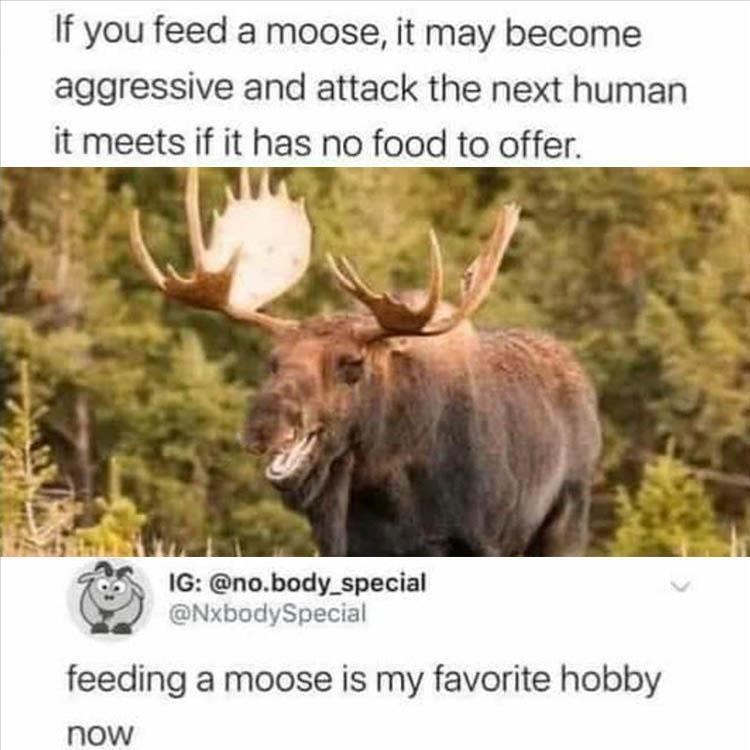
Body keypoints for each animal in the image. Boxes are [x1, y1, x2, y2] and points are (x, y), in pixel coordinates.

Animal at [130, 168, 601, 556]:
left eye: (352, 364)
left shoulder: (481, 539)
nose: (263, 425)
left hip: (566, 516)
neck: (387, 488)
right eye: (272, 361)